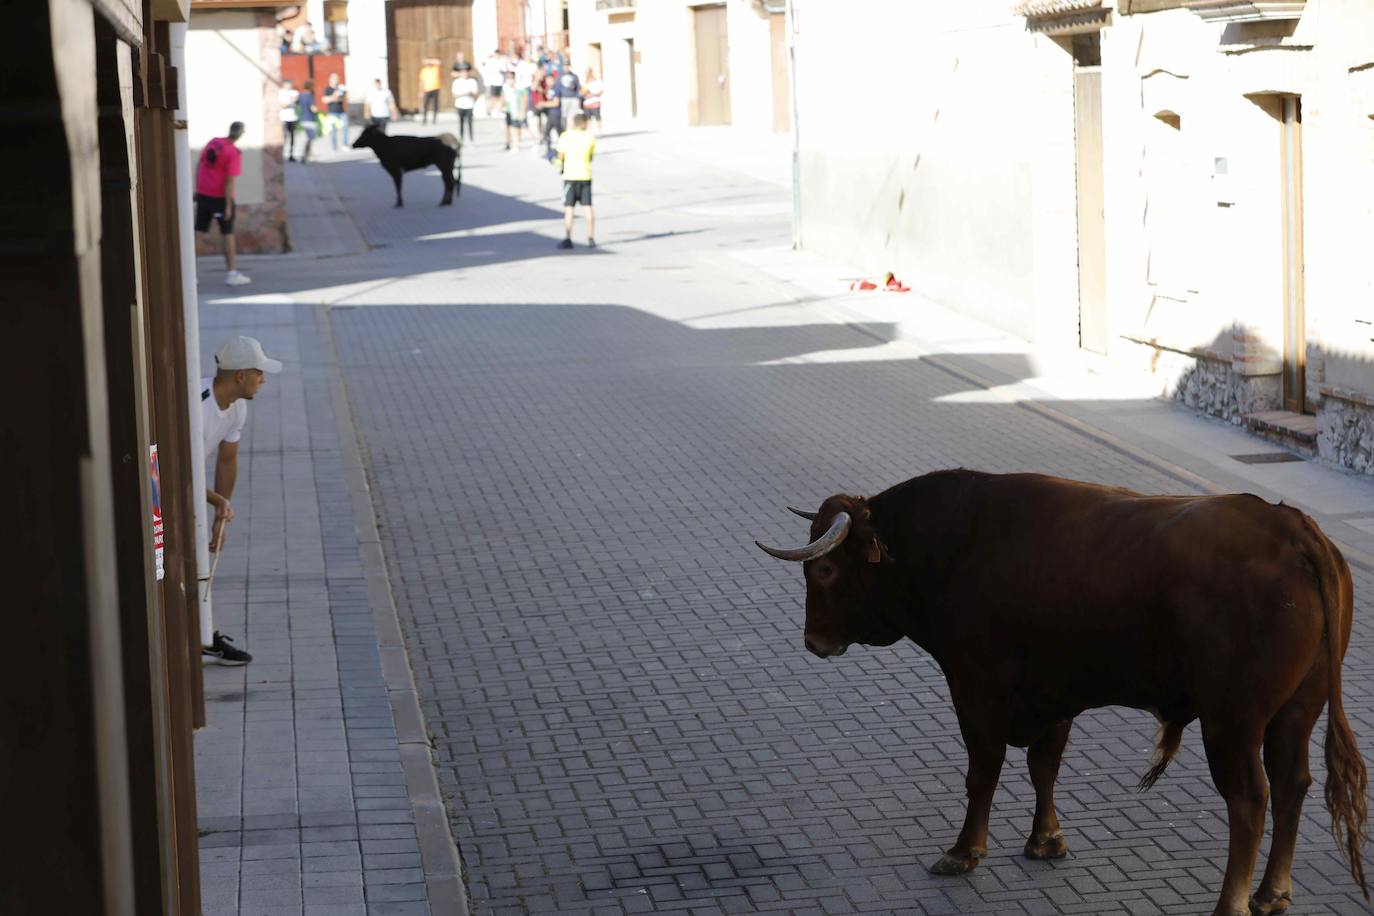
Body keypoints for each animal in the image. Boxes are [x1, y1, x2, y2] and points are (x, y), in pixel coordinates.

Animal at [758, 472, 1368, 916]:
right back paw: (1271, 893)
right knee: (1292, 785)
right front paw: (1046, 839)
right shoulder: (1055, 694)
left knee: (1250, 800)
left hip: (1232, 723)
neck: (955, 544)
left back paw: (1233, 903)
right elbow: (1044, 766)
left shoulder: (976, 687)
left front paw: (963, 850)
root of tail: (1289, 526)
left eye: (827, 570)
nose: (814, 641)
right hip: (1295, 713)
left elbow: (983, 770)